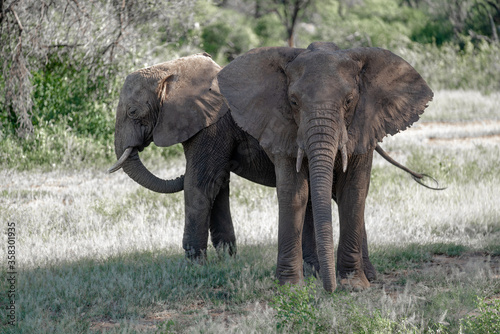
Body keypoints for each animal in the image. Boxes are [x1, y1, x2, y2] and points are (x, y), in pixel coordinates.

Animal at [218, 42, 434, 292]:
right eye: (293, 102)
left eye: (349, 100)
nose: (330, 289)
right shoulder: (284, 129)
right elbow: (294, 194)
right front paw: (290, 286)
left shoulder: (364, 125)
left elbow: (352, 193)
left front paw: (354, 285)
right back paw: (316, 272)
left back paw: (366, 275)